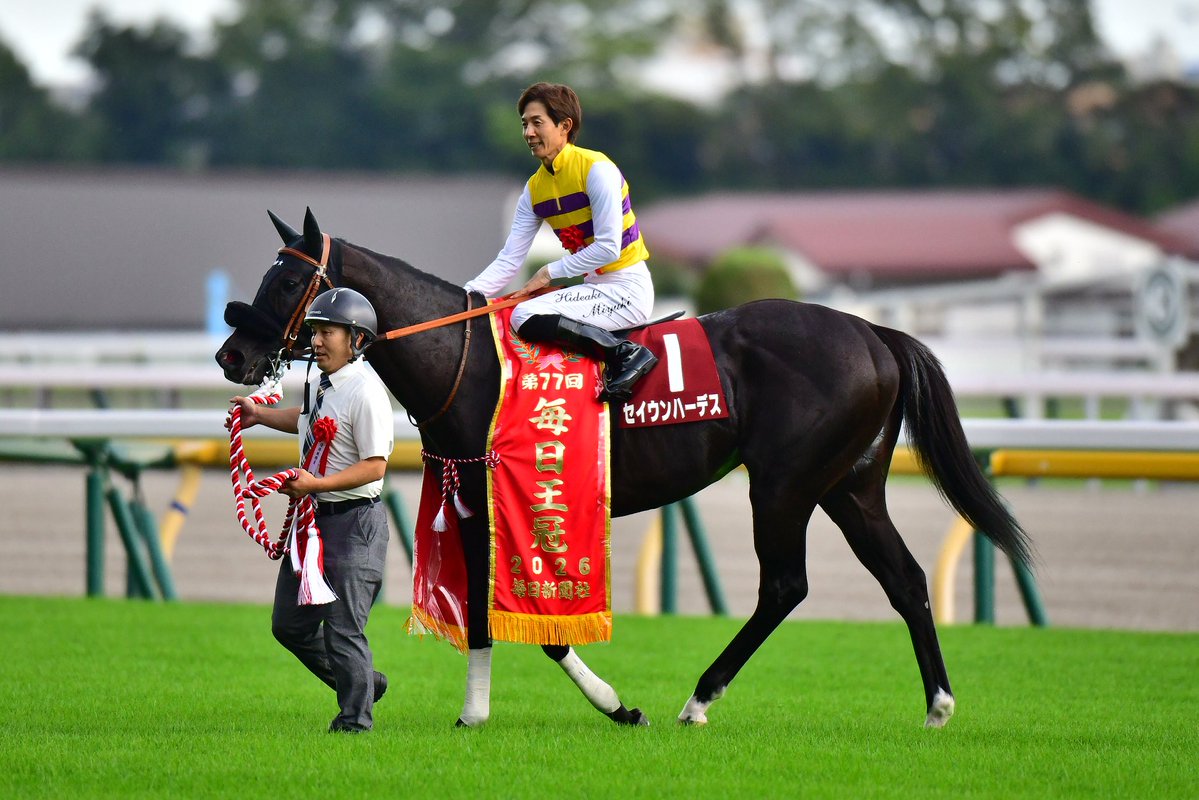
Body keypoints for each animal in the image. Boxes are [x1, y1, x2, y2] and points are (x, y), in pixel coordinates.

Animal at [216, 208, 1032, 729]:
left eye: (286, 283)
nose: (231, 355)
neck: (468, 363)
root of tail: (873, 332)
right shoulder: (475, 501)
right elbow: (484, 616)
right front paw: (483, 709)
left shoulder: (513, 501)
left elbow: (532, 625)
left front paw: (611, 704)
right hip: (850, 486)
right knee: (904, 579)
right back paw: (937, 705)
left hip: (784, 483)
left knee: (785, 586)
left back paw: (698, 700)